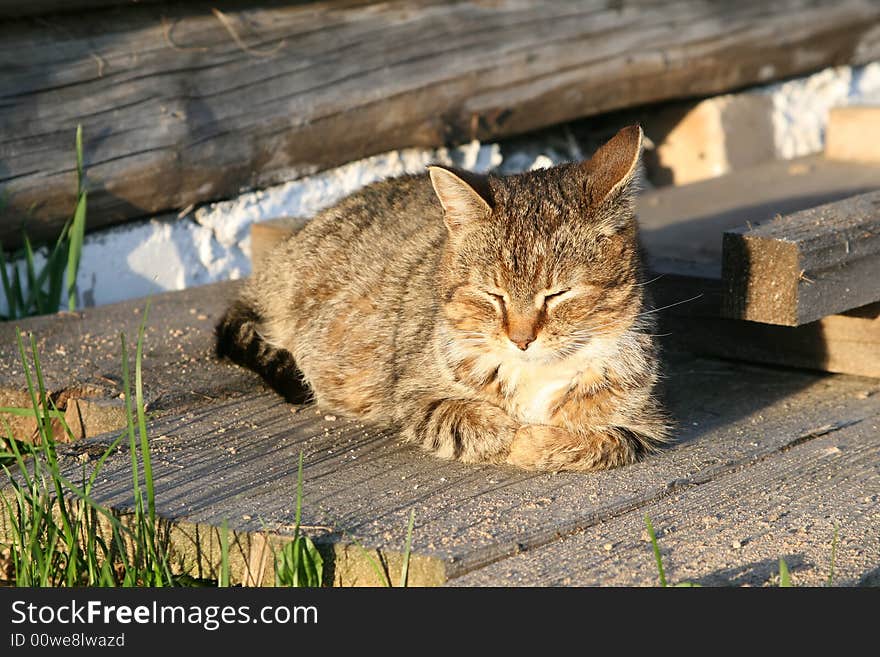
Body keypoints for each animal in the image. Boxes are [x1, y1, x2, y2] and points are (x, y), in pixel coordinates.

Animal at [217, 124, 672, 472]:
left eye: (557, 294)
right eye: (492, 295)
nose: (521, 339)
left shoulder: (641, 423)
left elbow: (598, 443)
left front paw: (538, 441)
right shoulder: (414, 396)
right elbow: (468, 422)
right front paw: (513, 435)